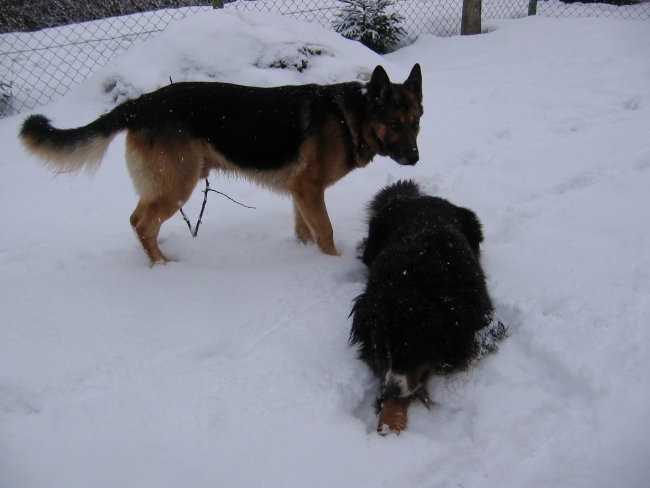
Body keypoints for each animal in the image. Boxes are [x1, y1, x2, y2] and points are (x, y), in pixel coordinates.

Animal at [19, 65, 420, 264]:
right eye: (394, 124)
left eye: (416, 121)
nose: (415, 158)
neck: (351, 115)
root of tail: (140, 103)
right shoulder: (309, 190)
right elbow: (326, 232)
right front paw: (331, 264)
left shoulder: (301, 191)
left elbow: (304, 230)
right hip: (178, 184)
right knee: (142, 223)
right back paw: (162, 267)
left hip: (171, 182)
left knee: (137, 220)